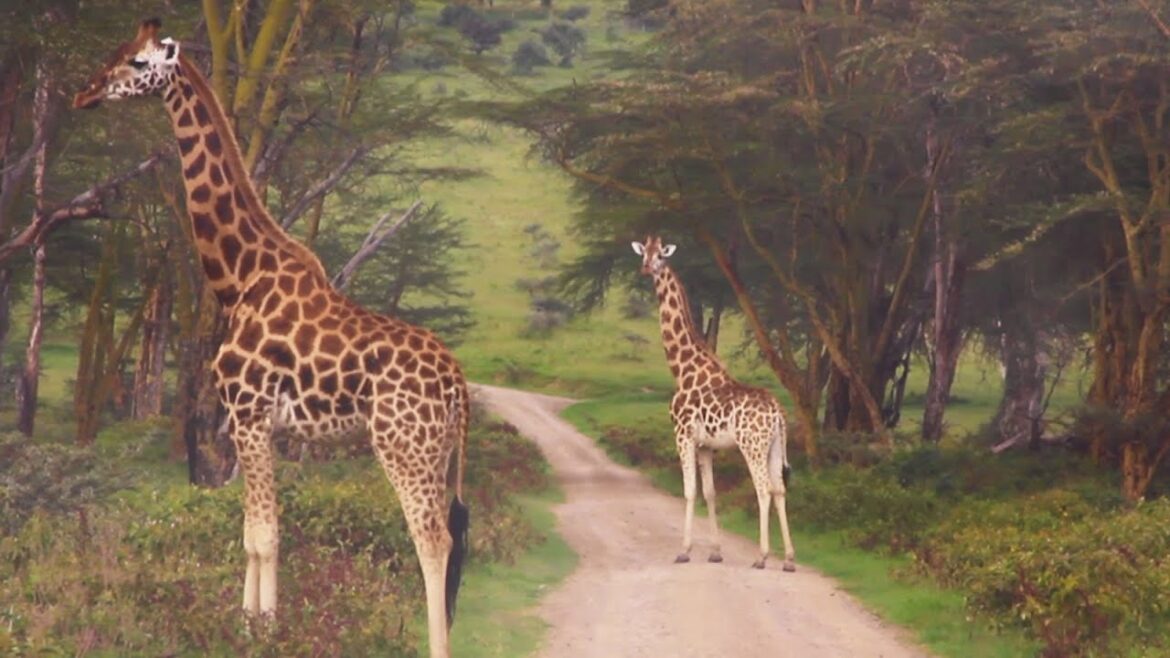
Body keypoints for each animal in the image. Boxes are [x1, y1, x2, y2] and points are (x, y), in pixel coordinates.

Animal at [73, 19, 469, 657]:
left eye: (137, 63)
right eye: (115, 52)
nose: (85, 93)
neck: (239, 277)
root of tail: (459, 383)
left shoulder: (248, 414)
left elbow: (262, 534)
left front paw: (261, 633)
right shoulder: (259, 424)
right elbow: (256, 532)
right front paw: (252, 627)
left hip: (403, 446)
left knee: (432, 542)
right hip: (437, 452)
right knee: (449, 541)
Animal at [631, 236, 795, 571]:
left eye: (660, 256)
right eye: (644, 253)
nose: (646, 268)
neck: (682, 369)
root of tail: (777, 415)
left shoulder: (682, 436)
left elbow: (689, 491)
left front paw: (684, 550)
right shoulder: (706, 445)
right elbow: (709, 492)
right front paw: (716, 551)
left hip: (752, 445)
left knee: (763, 488)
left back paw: (762, 556)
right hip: (774, 446)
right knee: (780, 488)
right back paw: (788, 558)